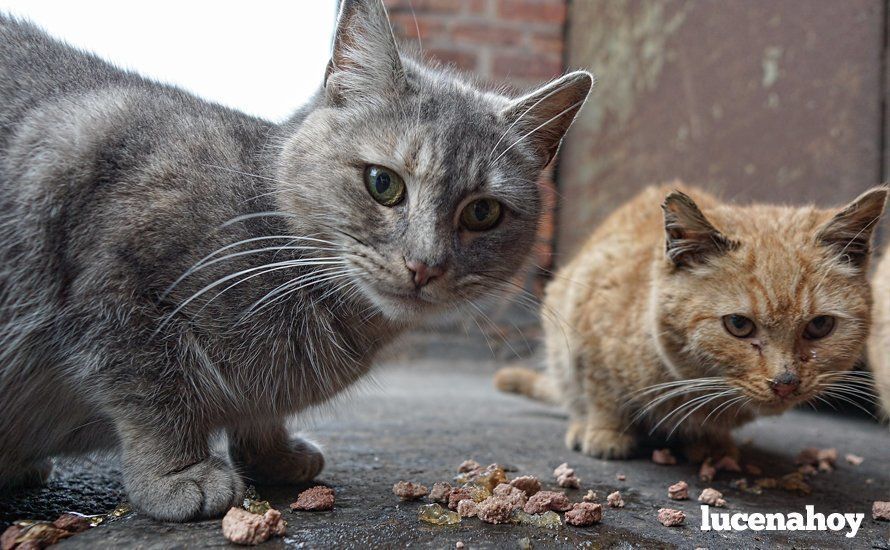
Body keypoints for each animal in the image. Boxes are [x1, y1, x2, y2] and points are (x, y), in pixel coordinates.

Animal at [0, 0, 588, 520]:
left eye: (483, 212)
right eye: (383, 183)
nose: (424, 265)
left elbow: (259, 415)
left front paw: (274, 454)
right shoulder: (115, 289)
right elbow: (153, 394)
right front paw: (179, 472)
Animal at [496, 183, 884, 460]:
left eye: (819, 326)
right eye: (738, 325)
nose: (785, 382)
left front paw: (713, 444)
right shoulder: (588, 330)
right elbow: (602, 395)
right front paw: (606, 434)